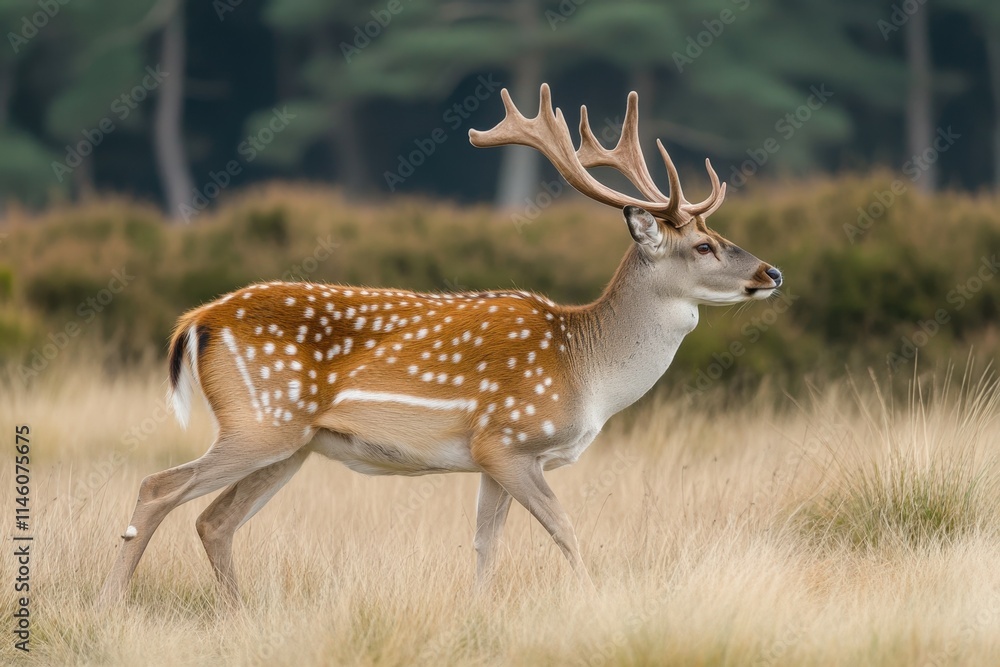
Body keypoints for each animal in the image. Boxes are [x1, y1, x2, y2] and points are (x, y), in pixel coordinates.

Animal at [99, 83, 782, 605]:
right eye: (704, 246)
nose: (771, 273)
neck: (586, 372)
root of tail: (195, 321)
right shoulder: (509, 438)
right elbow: (565, 529)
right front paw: (595, 601)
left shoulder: (492, 457)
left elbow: (485, 541)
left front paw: (478, 611)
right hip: (260, 421)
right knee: (159, 488)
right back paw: (112, 604)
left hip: (292, 444)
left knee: (214, 520)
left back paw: (239, 612)